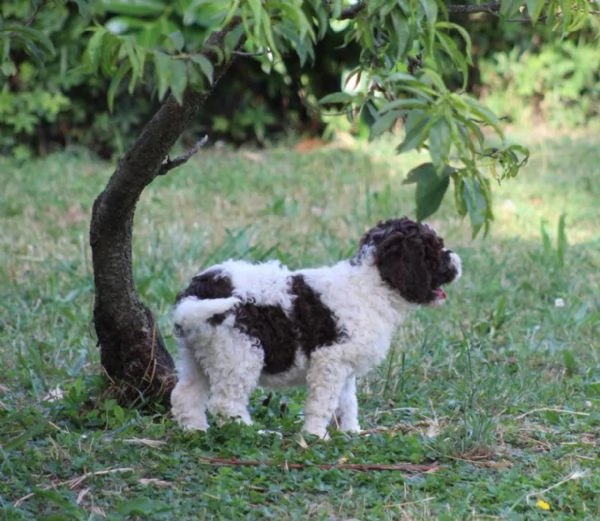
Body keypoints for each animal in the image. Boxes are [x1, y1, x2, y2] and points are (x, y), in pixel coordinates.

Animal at [171, 217, 462, 436]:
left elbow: (348, 402)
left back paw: (195, 430)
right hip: (240, 353)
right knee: (225, 403)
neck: (371, 285)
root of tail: (197, 292)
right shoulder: (329, 360)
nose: (459, 263)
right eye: (434, 250)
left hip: (199, 353)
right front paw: (315, 435)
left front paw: (352, 432)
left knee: (185, 394)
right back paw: (253, 432)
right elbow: (323, 402)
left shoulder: (345, 365)